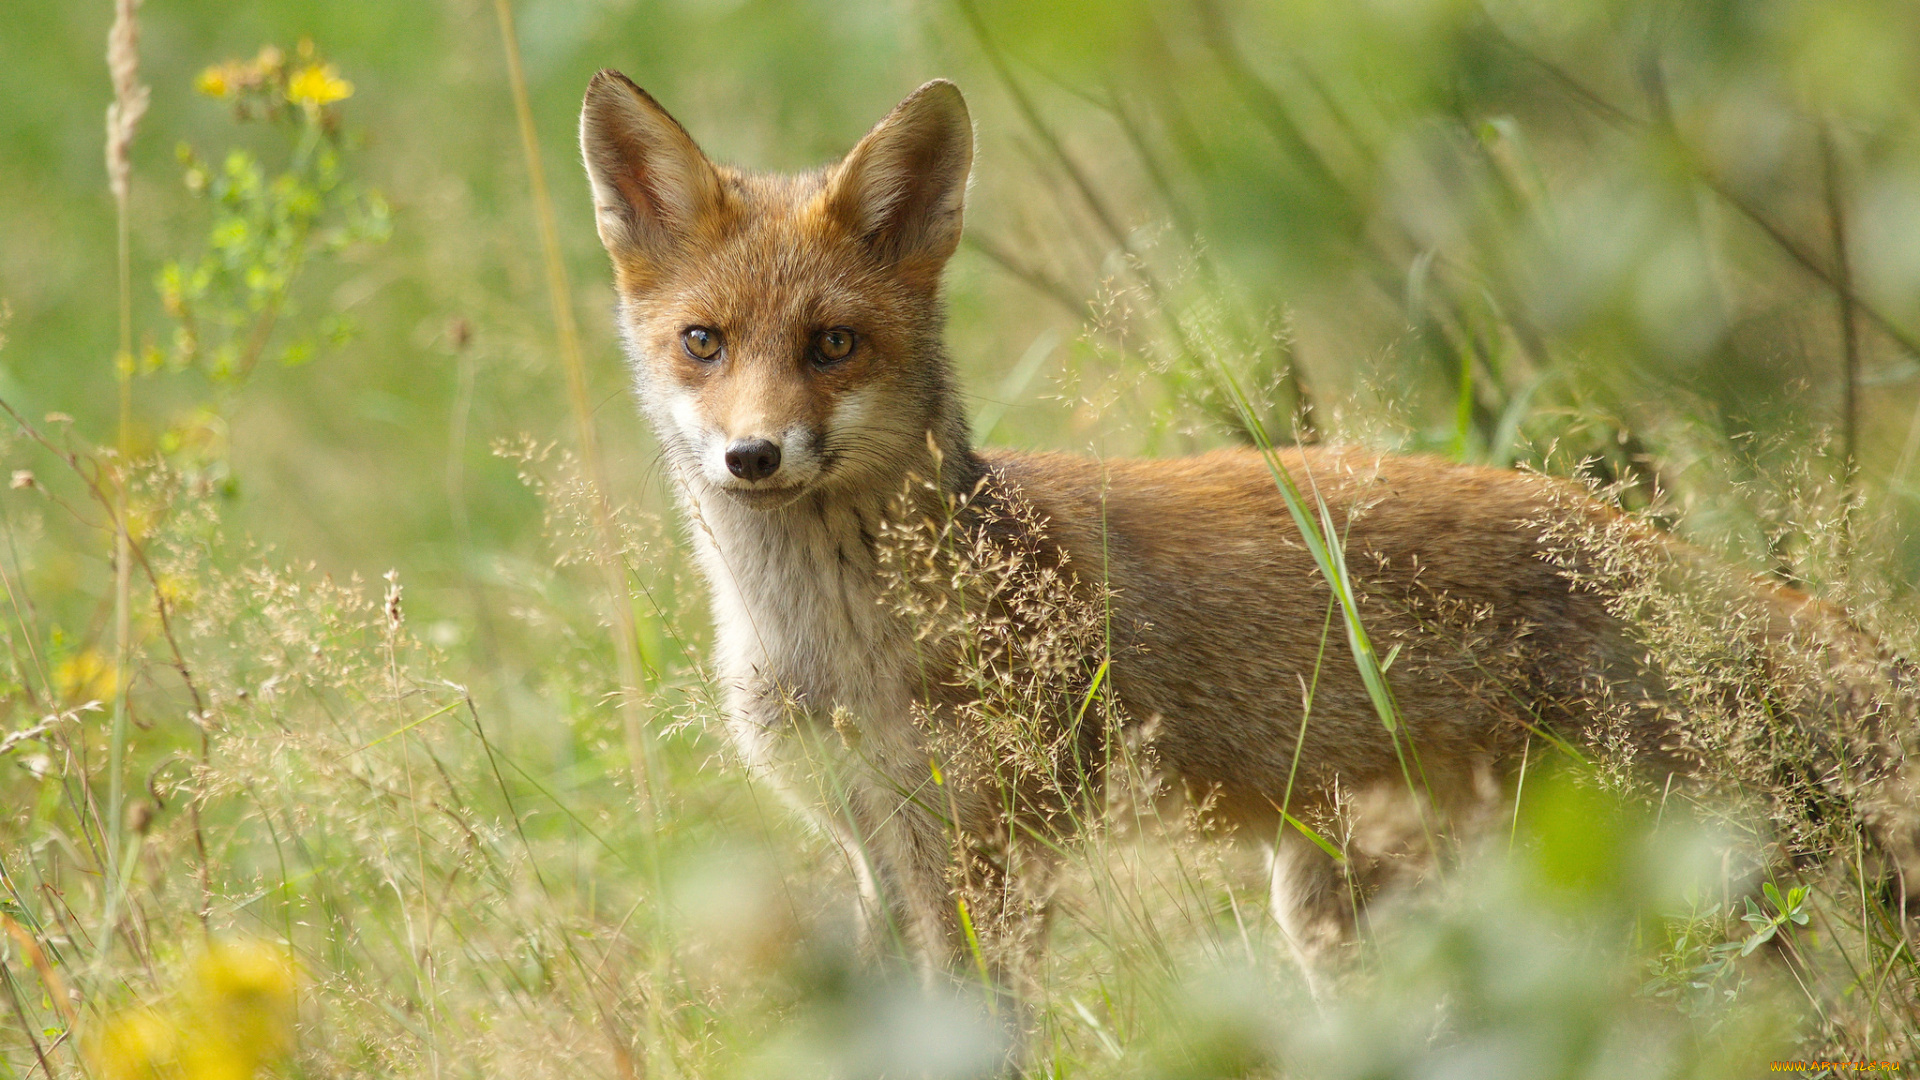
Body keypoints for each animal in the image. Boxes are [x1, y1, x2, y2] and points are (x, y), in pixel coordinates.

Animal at [572, 71, 1920, 991]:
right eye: (704, 343)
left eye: (831, 345)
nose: (753, 456)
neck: (828, 640)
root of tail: (1643, 551)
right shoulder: (873, 845)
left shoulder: (990, 855)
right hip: (1336, 908)